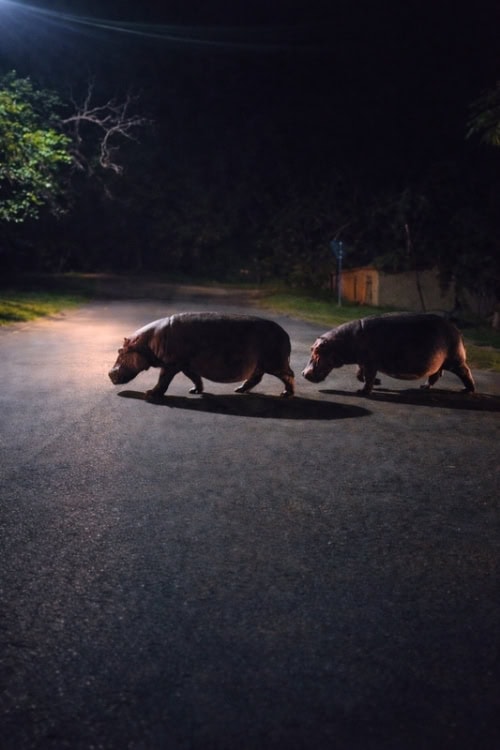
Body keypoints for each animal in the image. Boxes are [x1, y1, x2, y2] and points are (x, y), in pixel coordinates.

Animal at [109, 312, 295, 399]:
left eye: (121, 352)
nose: (109, 374)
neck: (147, 342)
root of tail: (286, 333)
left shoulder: (171, 364)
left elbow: (163, 380)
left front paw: (150, 393)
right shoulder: (186, 365)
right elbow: (195, 377)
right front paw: (195, 391)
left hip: (275, 363)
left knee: (289, 375)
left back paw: (285, 394)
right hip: (260, 363)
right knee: (256, 377)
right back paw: (239, 389)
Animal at [302, 312, 475, 395]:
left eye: (317, 351)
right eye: (312, 349)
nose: (303, 373)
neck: (343, 341)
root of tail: (456, 329)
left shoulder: (370, 363)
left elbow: (367, 376)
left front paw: (362, 392)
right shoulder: (362, 361)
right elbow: (359, 374)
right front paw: (378, 383)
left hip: (455, 360)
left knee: (465, 372)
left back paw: (467, 390)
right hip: (439, 362)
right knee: (435, 375)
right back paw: (423, 387)